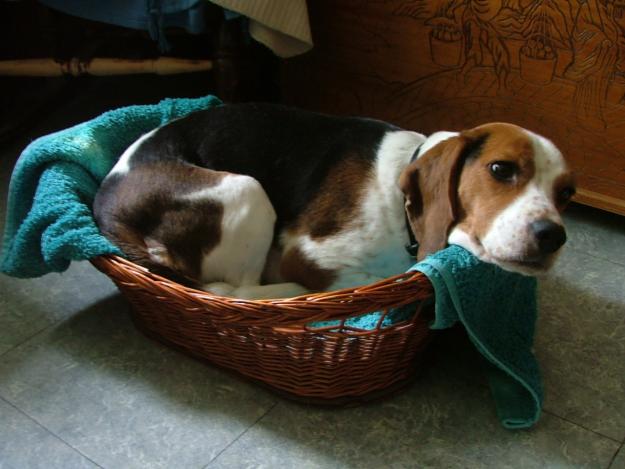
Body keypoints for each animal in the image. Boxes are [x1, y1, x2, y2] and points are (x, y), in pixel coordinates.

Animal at [92, 103, 576, 298]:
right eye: (501, 169)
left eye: (567, 193)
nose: (552, 236)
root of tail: (106, 204)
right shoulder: (311, 257)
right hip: (247, 190)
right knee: (239, 290)